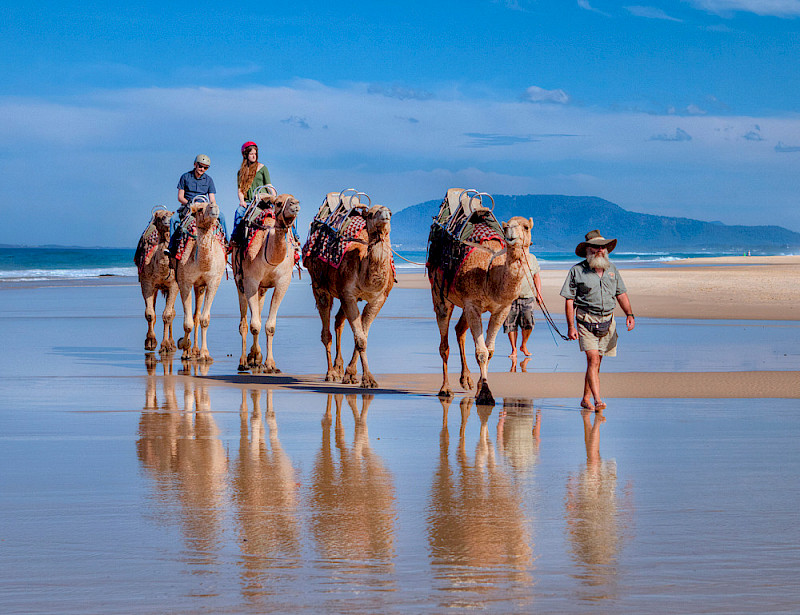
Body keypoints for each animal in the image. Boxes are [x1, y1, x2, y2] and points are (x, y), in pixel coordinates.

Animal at [134, 209, 178, 354]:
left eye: (171, 214)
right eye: (159, 217)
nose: (167, 219)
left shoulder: (173, 285)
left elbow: (168, 315)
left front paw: (165, 345)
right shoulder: (147, 283)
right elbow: (149, 314)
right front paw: (150, 342)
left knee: (173, 312)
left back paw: (172, 343)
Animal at [173, 197, 227, 360]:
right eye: (200, 209)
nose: (214, 207)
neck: (202, 264)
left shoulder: (212, 282)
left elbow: (204, 319)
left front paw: (204, 353)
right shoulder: (185, 282)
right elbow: (187, 323)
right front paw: (183, 345)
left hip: (200, 286)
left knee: (197, 315)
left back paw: (196, 350)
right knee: (192, 317)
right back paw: (188, 349)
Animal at [231, 195, 300, 372]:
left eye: (295, 199)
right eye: (278, 203)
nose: (295, 205)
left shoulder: (283, 282)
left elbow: (269, 326)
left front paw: (269, 363)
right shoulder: (250, 281)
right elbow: (254, 325)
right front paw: (250, 359)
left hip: (262, 288)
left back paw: (255, 357)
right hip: (239, 280)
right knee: (244, 322)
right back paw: (244, 360)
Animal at [304, 191, 394, 390]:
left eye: (390, 212)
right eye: (371, 214)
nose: (385, 214)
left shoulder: (378, 299)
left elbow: (362, 335)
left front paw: (351, 375)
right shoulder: (349, 295)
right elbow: (360, 338)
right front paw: (368, 379)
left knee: (339, 322)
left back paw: (338, 368)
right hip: (320, 286)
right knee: (326, 331)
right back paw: (331, 373)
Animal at [428, 190, 536, 406]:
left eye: (526, 227)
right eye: (507, 226)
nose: (510, 235)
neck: (491, 273)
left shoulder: (502, 308)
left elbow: (490, 350)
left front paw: (479, 389)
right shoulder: (473, 305)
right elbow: (482, 351)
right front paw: (486, 393)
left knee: (459, 330)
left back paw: (466, 380)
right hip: (440, 294)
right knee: (444, 343)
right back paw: (445, 389)